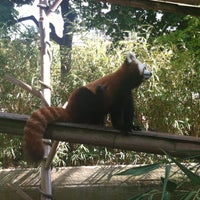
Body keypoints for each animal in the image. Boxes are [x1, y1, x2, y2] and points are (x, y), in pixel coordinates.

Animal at [23, 52, 152, 162]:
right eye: (145, 68)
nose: (151, 73)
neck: (124, 81)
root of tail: (69, 110)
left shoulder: (127, 94)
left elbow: (129, 109)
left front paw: (132, 126)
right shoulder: (113, 91)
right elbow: (116, 111)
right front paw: (121, 126)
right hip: (83, 100)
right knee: (89, 97)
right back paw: (91, 121)